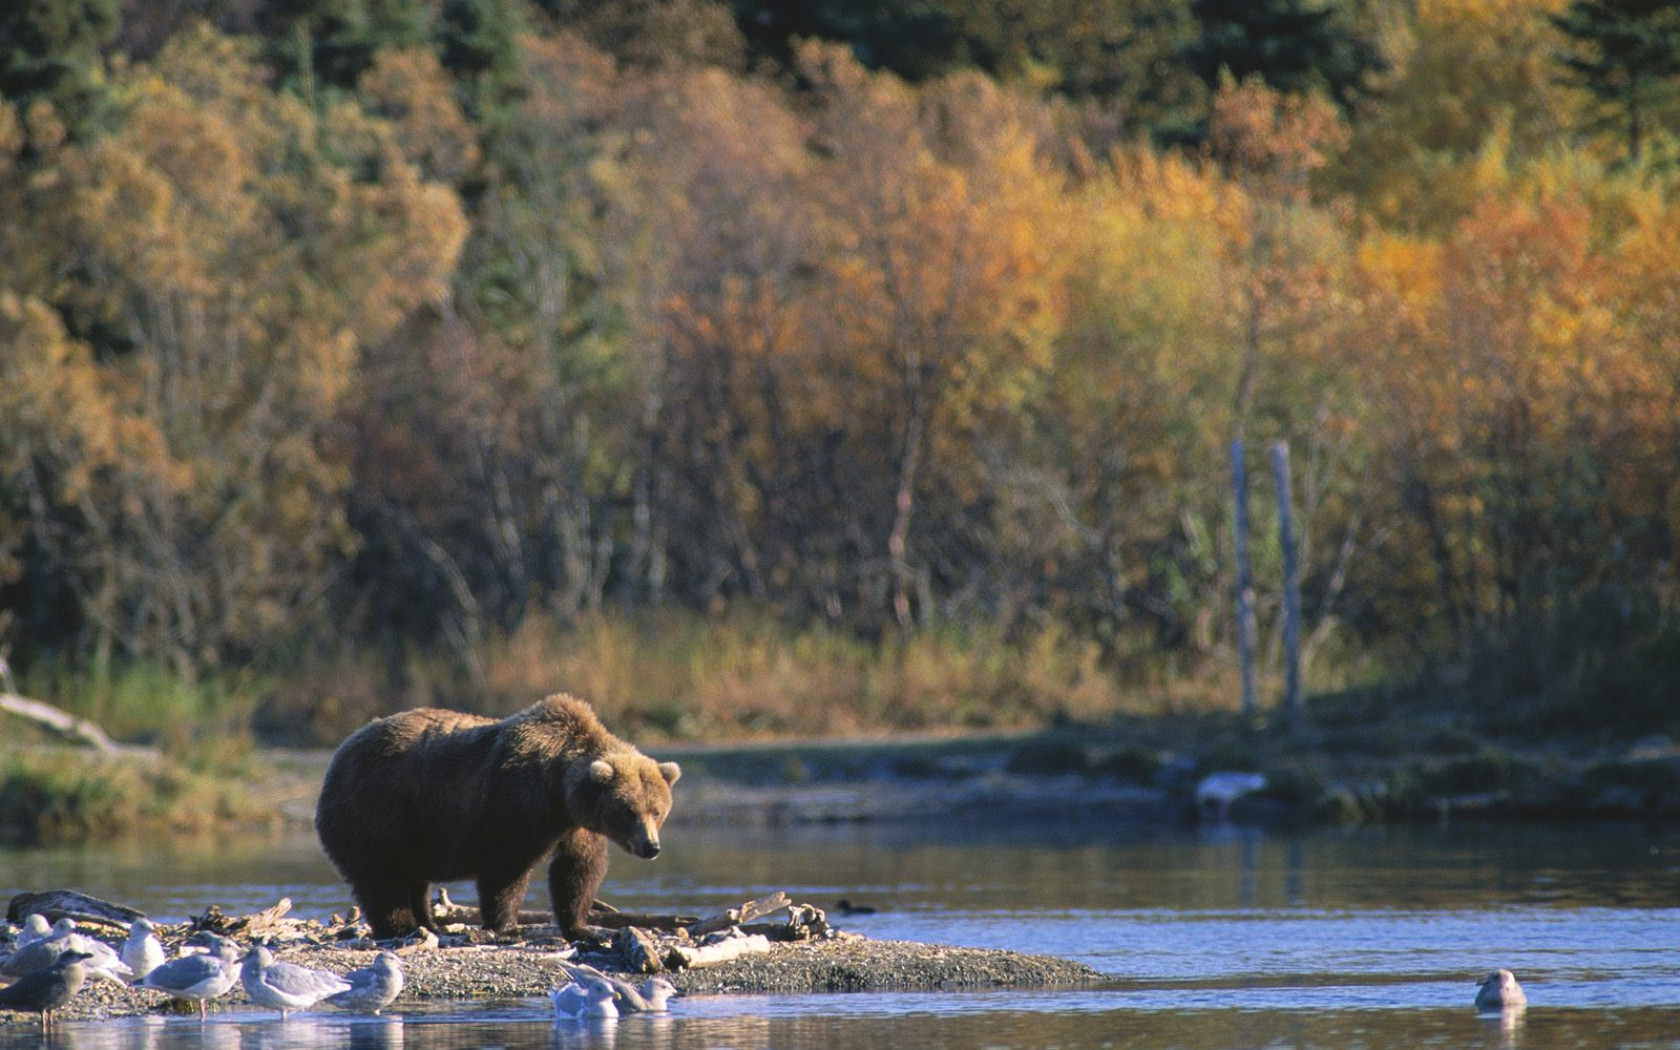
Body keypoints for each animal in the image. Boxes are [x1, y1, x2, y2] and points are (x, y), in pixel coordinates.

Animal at [312, 692, 678, 940]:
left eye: (657, 810)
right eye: (629, 811)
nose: (651, 847)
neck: (561, 789)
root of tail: (339, 754)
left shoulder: (576, 825)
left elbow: (578, 870)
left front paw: (582, 927)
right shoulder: (516, 800)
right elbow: (506, 866)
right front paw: (505, 925)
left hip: (413, 827)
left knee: (412, 876)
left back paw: (427, 922)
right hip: (377, 807)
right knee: (381, 874)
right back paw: (402, 926)